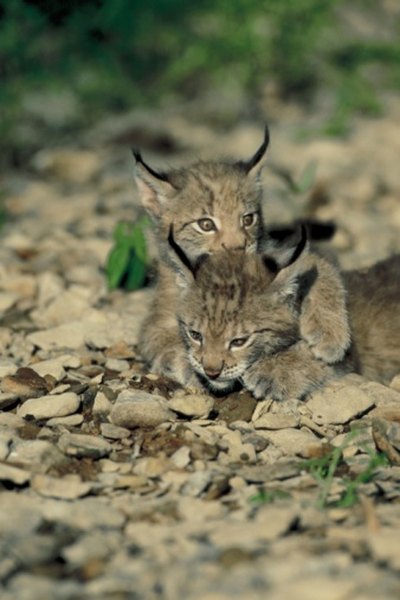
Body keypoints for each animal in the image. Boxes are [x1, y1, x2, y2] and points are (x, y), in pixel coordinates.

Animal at [134, 129, 350, 386]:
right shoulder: (157, 323)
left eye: (248, 219)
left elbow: (319, 265)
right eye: (205, 224)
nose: (238, 246)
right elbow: (170, 342)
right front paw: (194, 368)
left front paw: (330, 334)